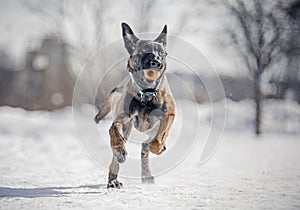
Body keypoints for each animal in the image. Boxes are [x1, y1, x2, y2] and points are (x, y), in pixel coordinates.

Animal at [93, 23, 173, 189]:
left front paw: (158, 147)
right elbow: (113, 128)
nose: (156, 62)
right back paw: (113, 180)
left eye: (162, 53)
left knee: (146, 145)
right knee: (118, 157)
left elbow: (157, 139)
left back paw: (147, 172)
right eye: (143, 52)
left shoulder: (168, 115)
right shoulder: (123, 118)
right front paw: (119, 149)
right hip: (128, 128)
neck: (147, 94)